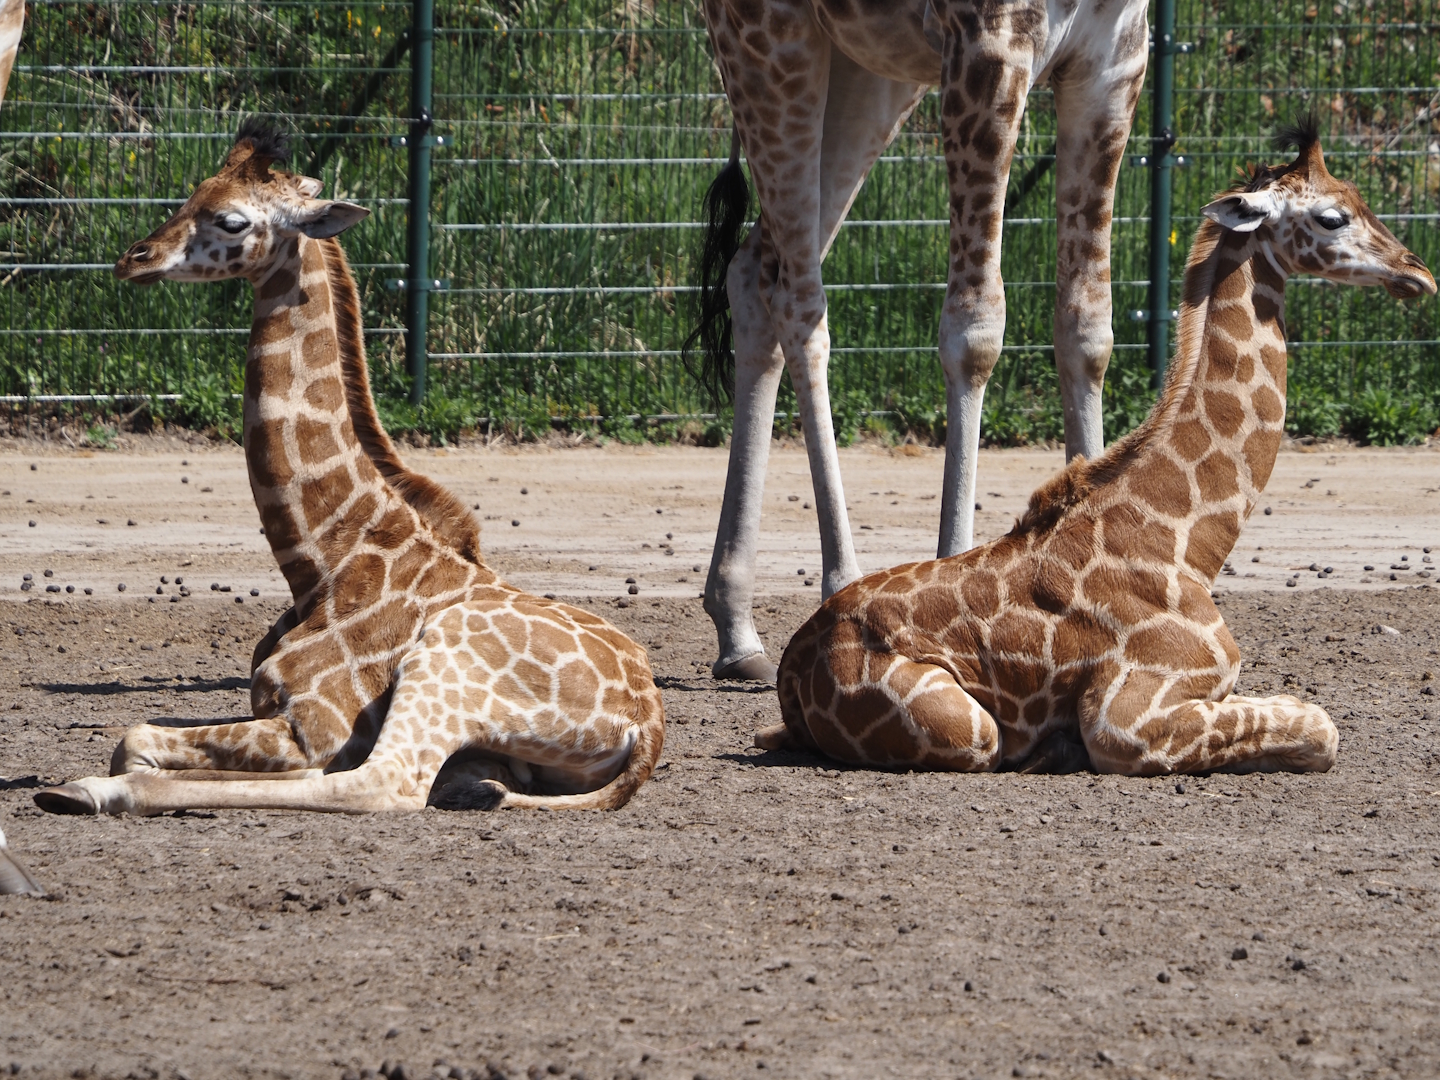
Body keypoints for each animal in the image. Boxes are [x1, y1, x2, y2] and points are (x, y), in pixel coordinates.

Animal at [34, 123, 665, 816]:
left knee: (383, 782)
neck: (322, 558)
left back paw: (89, 791)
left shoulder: (315, 725)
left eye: (231, 220)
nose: (134, 259)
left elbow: (136, 736)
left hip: (443, 665)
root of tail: (647, 725)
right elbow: (140, 738)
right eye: (194, 191)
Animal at [689, 0, 1150, 680]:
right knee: (800, 302)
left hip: (869, 75)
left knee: (753, 274)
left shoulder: (1114, 63)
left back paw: (737, 628)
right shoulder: (989, 48)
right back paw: (839, 586)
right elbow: (975, 329)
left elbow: (1086, 328)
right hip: (771, 44)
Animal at [759, 123, 1435, 775]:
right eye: (1332, 217)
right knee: (983, 737)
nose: (1418, 273)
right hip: (968, 727)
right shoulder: (1128, 715)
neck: (1188, 541)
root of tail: (792, 675)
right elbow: (1321, 726)